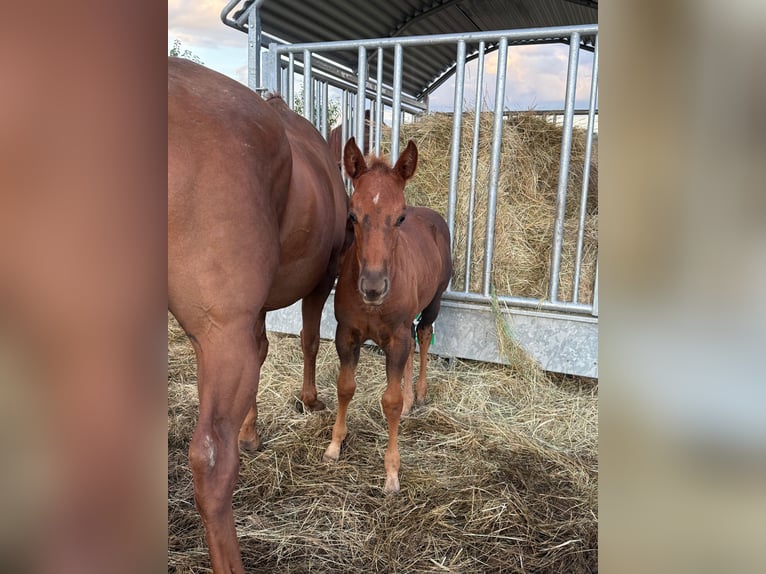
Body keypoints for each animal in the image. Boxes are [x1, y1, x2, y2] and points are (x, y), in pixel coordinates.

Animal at [168, 57, 349, 573]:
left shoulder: (254, 310)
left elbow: (265, 348)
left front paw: (251, 432)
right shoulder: (323, 278)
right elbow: (309, 339)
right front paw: (309, 399)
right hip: (220, 336)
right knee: (211, 460)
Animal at [322, 137, 452, 493]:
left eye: (400, 217)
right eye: (352, 215)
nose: (373, 287)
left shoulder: (395, 337)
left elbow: (390, 401)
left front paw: (392, 473)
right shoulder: (346, 334)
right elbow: (345, 386)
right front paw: (335, 445)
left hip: (433, 302)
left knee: (423, 335)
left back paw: (418, 395)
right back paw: (410, 400)